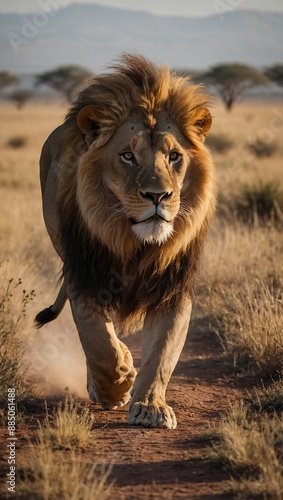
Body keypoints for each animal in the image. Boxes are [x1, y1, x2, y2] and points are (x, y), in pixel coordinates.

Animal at [36, 54, 217, 430]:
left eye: (174, 156)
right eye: (128, 156)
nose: (158, 196)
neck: (135, 244)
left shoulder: (172, 285)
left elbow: (163, 351)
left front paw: (150, 407)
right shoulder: (84, 275)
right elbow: (98, 342)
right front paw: (115, 386)